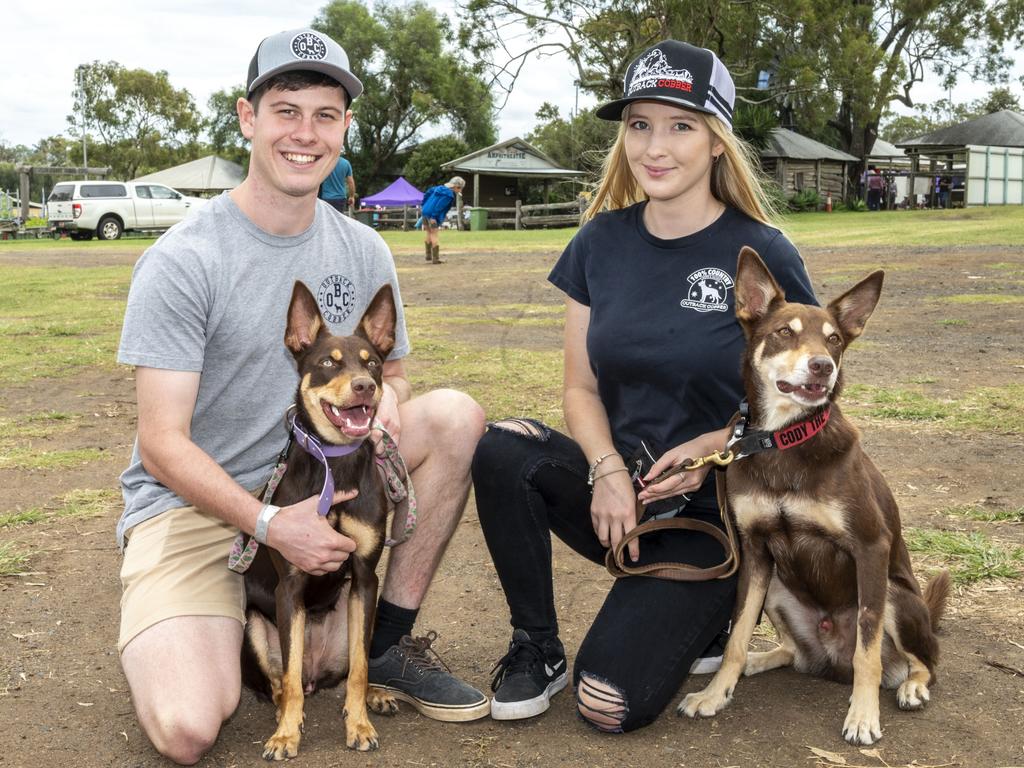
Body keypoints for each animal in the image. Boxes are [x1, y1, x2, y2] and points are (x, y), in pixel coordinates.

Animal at [239, 280, 399, 757]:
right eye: (328, 362)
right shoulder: (290, 583)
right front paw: (287, 734)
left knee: (349, 672)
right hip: (254, 627)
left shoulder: (364, 578)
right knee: (282, 683)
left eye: (374, 362)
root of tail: (318, 674)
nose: (365, 386)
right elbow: (289, 680)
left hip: (353, 611)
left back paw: (374, 696)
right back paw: (283, 713)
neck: (336, 464)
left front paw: (360, 725)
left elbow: (362, 668)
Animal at [679, 246, 950, 745]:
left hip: (896, 597)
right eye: (784, 332)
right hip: (777, 589)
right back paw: (760, 661)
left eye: (835, 340)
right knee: (793, 653)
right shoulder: (755, 552)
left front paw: (862, 716)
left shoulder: (870, 547)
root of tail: (828, 658)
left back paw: (912, 686)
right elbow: (736, 636)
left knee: (921, 661)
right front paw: (715, 693)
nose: (823, 365)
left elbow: (868, 650)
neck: (785, 440)